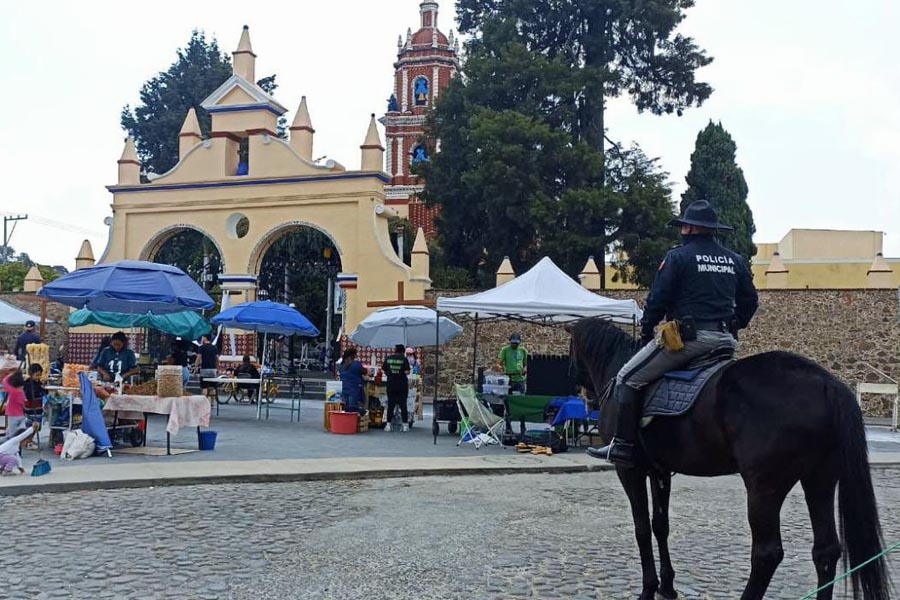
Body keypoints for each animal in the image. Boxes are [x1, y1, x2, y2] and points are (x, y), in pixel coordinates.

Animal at [568, 322, 888, 600]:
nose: (585, 393)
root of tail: (826, 382)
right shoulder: (661, 471)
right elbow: (660, 525)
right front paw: (667, 586)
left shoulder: (630, 470)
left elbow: (642, 528)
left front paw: (648, 589)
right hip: (820, 479)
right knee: (826, 550)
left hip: (764, 488)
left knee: (766, 553)